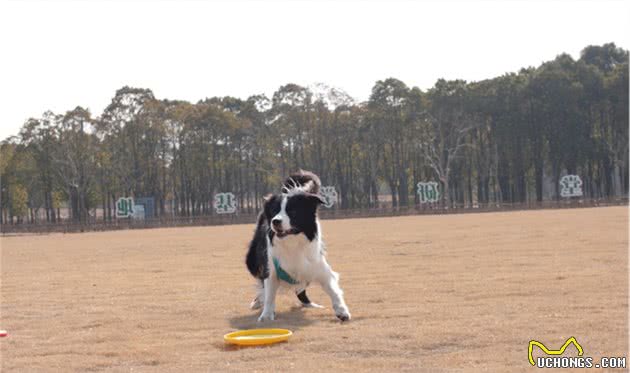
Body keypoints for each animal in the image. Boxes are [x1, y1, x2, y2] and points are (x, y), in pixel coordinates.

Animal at [247, 170, 354, 322]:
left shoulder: (317, 266)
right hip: (252, 261)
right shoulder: (271, 268)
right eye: (274, 211)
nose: (275, 221)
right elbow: (269, 294)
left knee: (301, 290)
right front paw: (266, 315)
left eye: (293, 212)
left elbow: (333, 289)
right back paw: (258, 301)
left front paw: (342, 311)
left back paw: (310, 304)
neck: (292, 242)